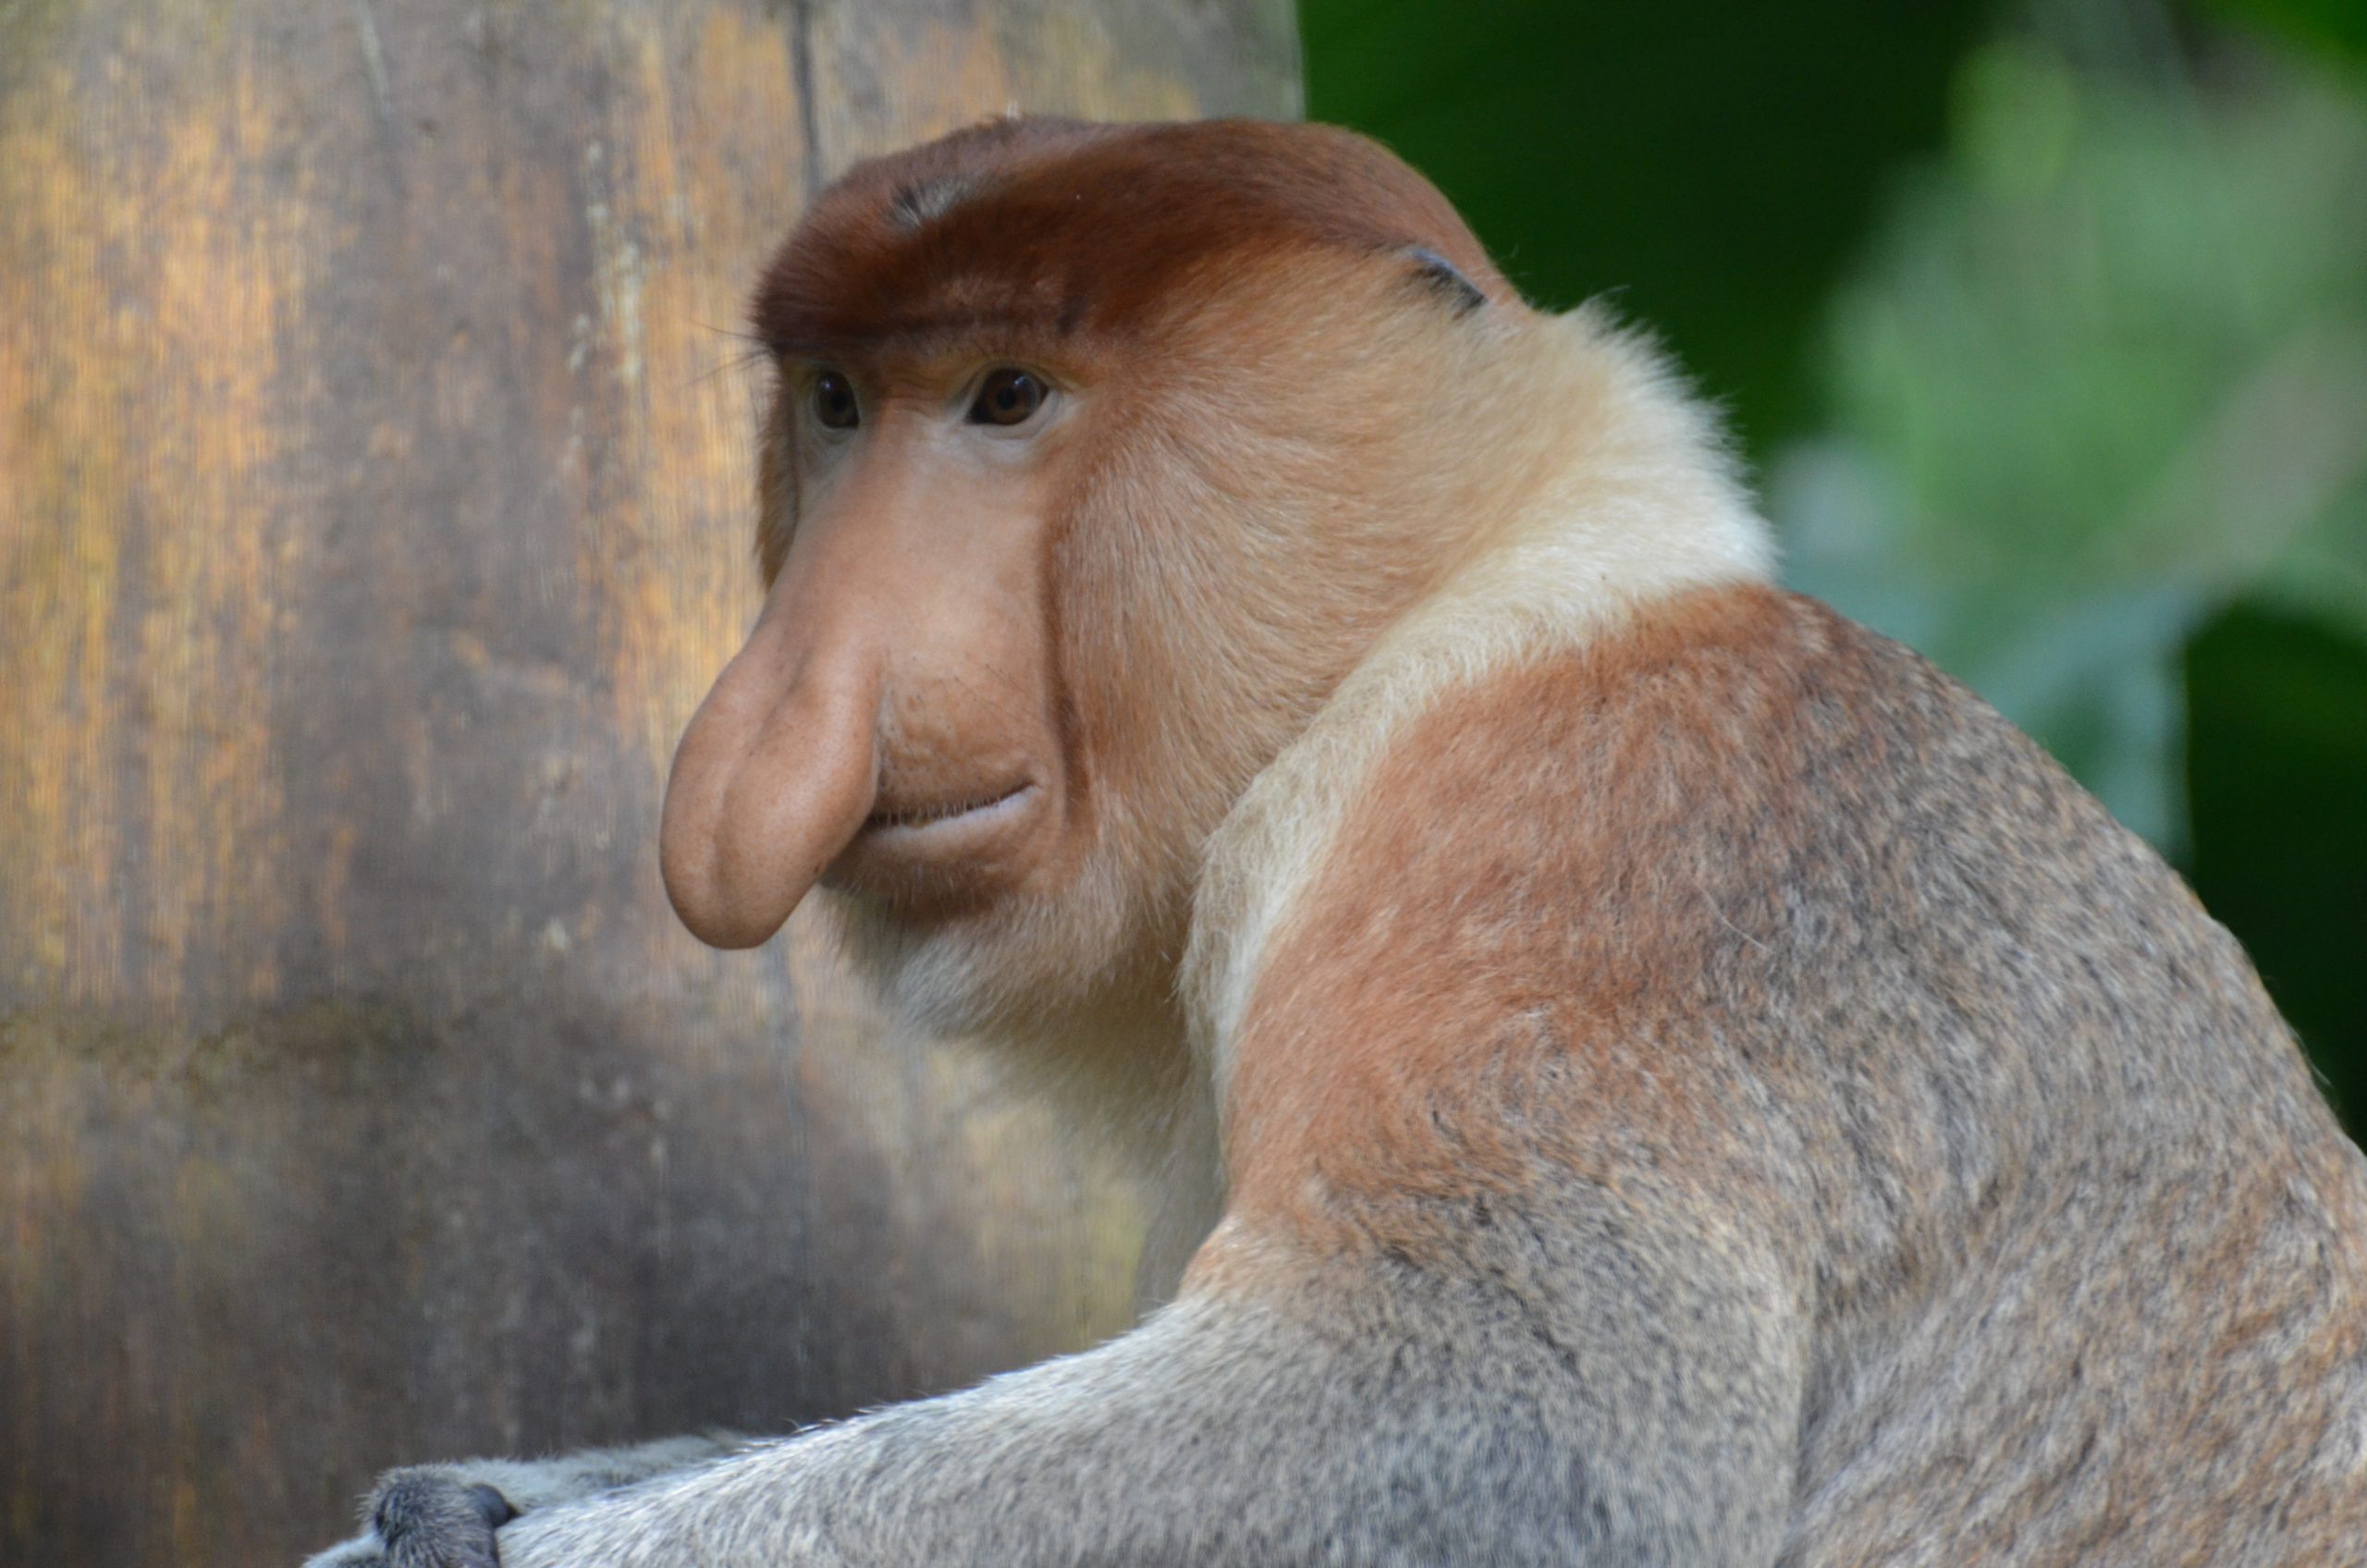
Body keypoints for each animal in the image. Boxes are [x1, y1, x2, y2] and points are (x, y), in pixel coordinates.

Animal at [306, 117, 2367, 1568]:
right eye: (833, 402)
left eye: (1004, 397)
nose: (787, 709)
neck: (1464, 583)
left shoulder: (1526, 836)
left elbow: (1497, 1410)